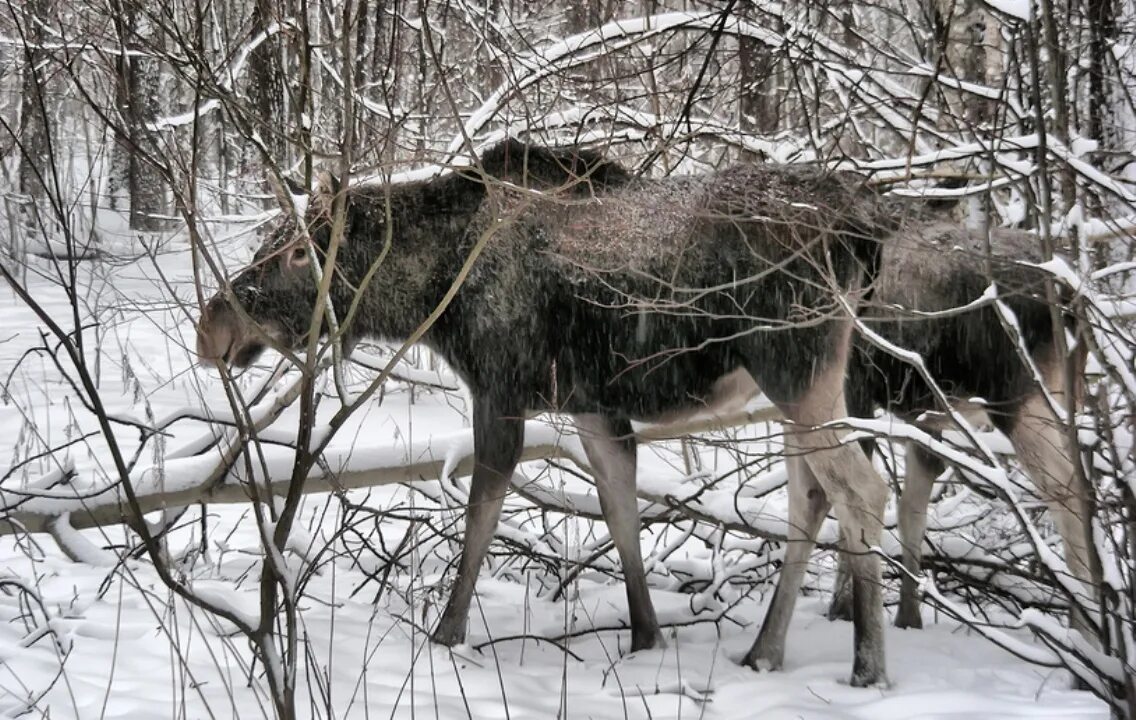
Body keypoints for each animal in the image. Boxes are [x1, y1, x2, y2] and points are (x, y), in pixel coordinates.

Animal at [199, 140, 899, 685]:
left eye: (298, 251)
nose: (212, 325)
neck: (433, 293)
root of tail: (868, 227)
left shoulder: (500, 390)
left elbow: (481, 517)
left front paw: (446, 637)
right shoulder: (592, 407)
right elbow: (620, 509)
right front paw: (646, 636)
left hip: (795, 369)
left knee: (862, 487)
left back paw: (868, 665)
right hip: (813, 383)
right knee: (812, 493)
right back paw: (765, 651)